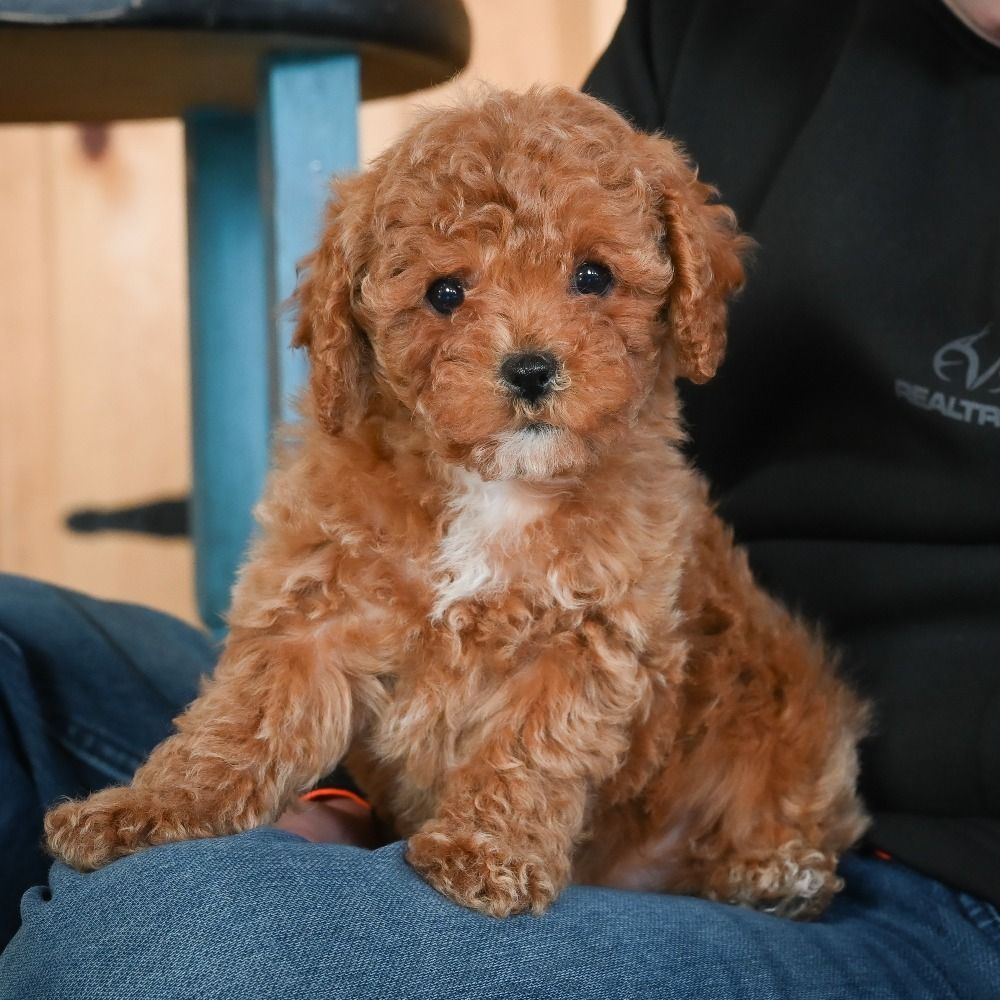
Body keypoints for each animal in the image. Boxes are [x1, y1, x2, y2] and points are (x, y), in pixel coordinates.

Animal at [45, 90, 868, 916]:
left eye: (594, 276)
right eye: (445, 293)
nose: (531, 369)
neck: (493, 484)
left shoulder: (587, 640)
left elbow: (530, 747)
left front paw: (486, 850)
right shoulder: (316, 606)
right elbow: (244, 719)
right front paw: (150, 808)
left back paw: (771, 871)